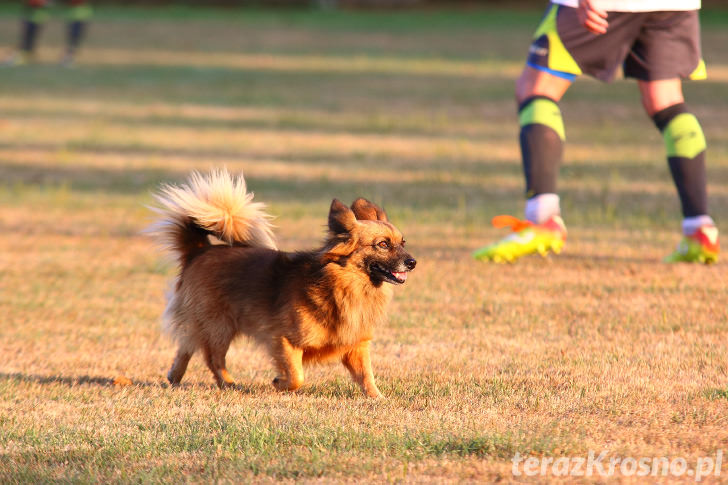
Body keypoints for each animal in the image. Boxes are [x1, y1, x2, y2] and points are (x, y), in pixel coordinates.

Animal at [149, 170, 416, 398]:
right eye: (383, 244)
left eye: (403, 242)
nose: (412, 262)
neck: (343, 285)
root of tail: (200, 250)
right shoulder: (284, 339)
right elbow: (297, 376)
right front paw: (279, 383)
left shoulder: (357, 345)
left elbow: (366, 376)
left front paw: (377, 398)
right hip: (219, 325)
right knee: (213, 358)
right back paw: (229, 384)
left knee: (186, 344)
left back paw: (175, 376)